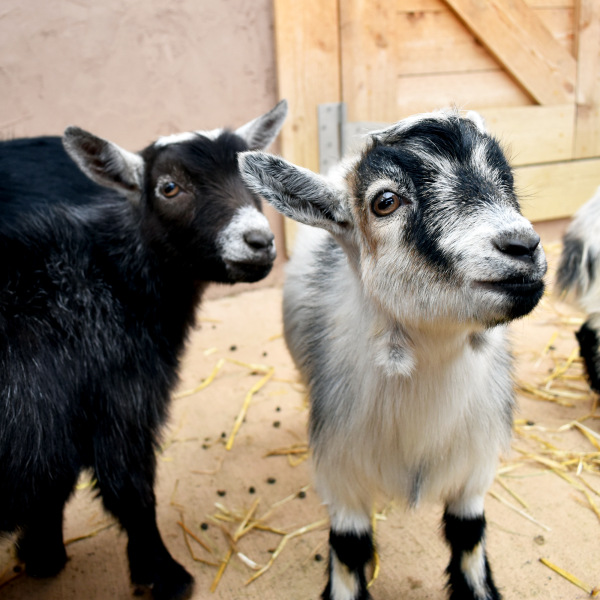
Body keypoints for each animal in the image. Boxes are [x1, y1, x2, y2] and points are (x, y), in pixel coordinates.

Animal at [0, 99, 288, 600]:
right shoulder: (122, 400)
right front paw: (165, 575)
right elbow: (131, 491)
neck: (112, 277)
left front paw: (42, 555)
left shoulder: (57, 421)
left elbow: (53, 488)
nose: (259, 241)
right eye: (168, 187)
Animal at [238, 108, 544, 600]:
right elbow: (348, 549)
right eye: (385, 201)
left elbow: (468, 537)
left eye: (507, 180)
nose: (523, 246)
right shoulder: (340, 474)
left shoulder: (474, 469)